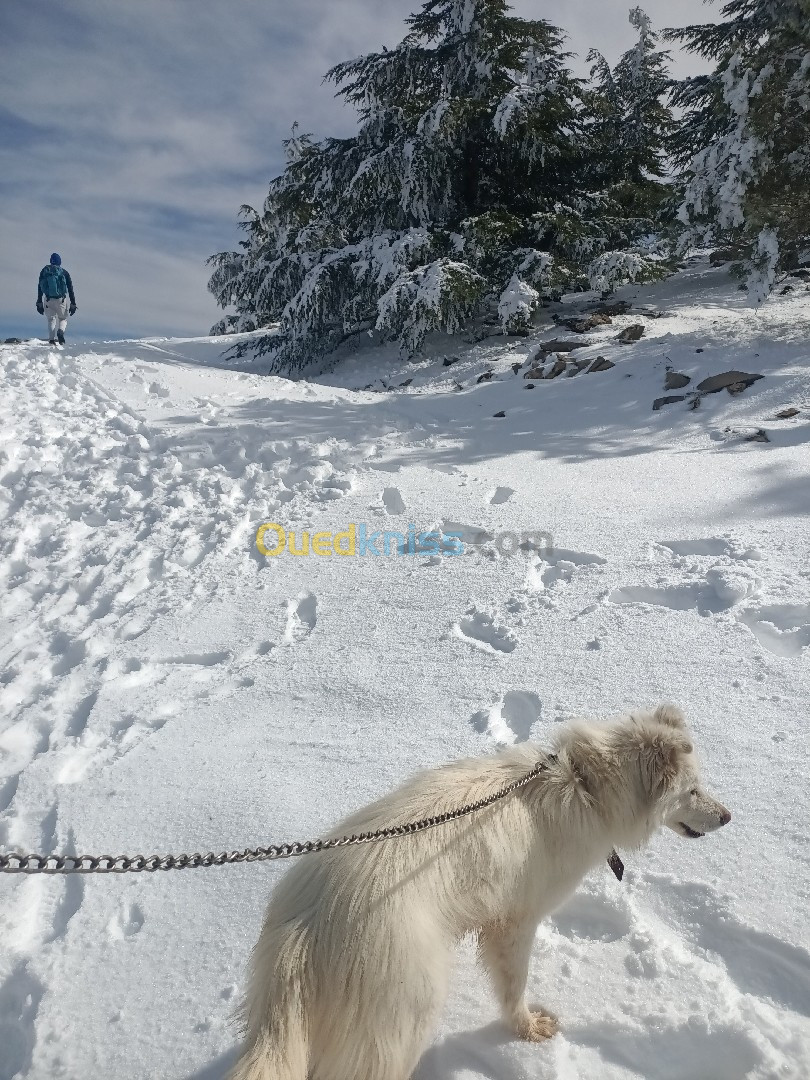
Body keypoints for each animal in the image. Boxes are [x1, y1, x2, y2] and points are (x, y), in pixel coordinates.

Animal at [226, 704, 730, 1075]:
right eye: (692, 791)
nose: (728, 817)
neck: (583, 785)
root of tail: (306, 931)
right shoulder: (515, 922)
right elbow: (514, 988)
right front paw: (527, 1031)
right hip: (407, 1011)